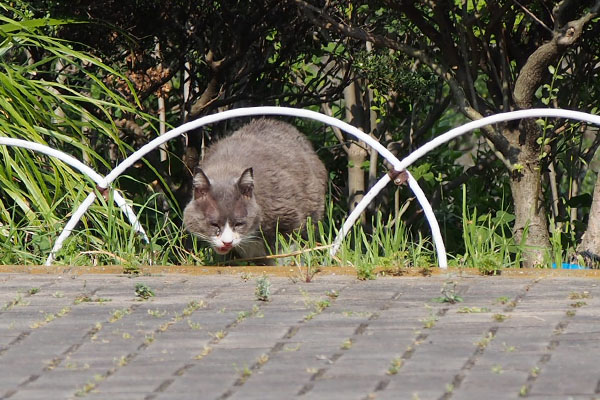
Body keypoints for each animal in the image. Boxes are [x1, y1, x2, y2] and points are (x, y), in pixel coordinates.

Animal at [184, 119, 328, 262]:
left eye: (239, 223)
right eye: (214, 224)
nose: (227, 242)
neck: (225, 170)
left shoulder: (289, 217)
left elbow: (285, 252)